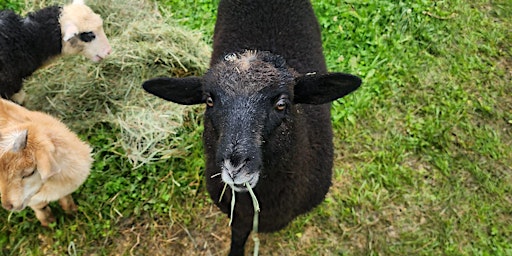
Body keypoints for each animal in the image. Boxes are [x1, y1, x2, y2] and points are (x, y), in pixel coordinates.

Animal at [0, 98, 92, 226]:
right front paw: (48, 222)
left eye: (29, 173)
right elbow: (40, 206)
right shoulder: (32, 198)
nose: (8, 206)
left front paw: (72, 212)